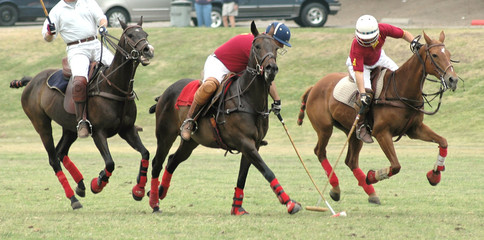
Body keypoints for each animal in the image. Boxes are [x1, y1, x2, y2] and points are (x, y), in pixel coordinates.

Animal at [10, 19, 154, 210]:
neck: (115, 88)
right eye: (130, 35)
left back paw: (80, 185)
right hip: (41, 124)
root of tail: (32, 79)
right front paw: (98, 183)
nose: (148, 50)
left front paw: (138, 189)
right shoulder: (98, 132)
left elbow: (145, 153)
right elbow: (110, 163)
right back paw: (73, 198)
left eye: (145, 34)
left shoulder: (127, 129)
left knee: (60, 152)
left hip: (70, 127)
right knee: (53, 158)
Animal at [146, 21, 300, 216]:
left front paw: (237, 208)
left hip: (191, 141)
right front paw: (289, 202)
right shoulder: (245, 142)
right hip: (165, 135)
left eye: (276, 48)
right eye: (257, 46)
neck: (249, 100)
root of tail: (163, 94)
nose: (271, 69)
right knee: (157, 163)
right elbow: (267, 171)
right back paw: (154, 202)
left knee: (173, 160)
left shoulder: (254, 144)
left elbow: (242, 176)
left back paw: (160, 192)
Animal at [296, 31, 460, 204]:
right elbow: (396, 166)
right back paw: (336, 188)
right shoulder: (381, 133)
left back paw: (371, 193)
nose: (453, 79)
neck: (401, 89)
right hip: (324, 128)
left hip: (353, 133)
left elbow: (443, 142)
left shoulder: (415, 129)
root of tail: (314, 86)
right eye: (434, 55)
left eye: (449, 54)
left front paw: (435, 175)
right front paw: (371, 176)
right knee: (320, 152)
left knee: (351, 161)